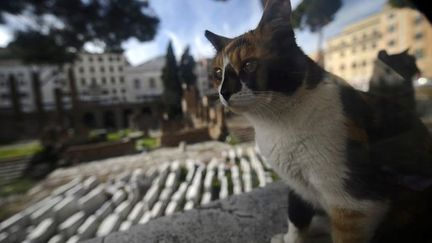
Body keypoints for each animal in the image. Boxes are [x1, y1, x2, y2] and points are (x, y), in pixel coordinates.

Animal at [205, 0, 432, 243]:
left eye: (248, 65)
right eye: (217, 73)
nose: (223, 92)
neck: (275, 125)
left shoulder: (356, 204)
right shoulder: (296, 185)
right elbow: (296, 216)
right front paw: (291, 237)